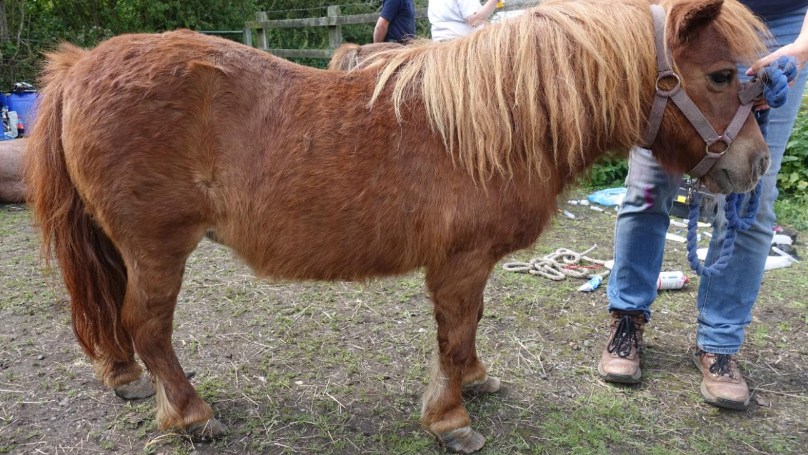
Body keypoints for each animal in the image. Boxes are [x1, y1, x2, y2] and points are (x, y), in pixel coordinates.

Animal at [26, 0, 772, 452]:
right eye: (721, 74)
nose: (757, 163)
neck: (495, 123)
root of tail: (80, 64)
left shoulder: (472, 265)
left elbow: (469, 333)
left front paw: (475, 381)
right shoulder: (460, 262)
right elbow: (454, 334)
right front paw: (451, 419)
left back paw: (127, 379)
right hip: (157, 247)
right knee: (147, 324)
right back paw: (189, 413)